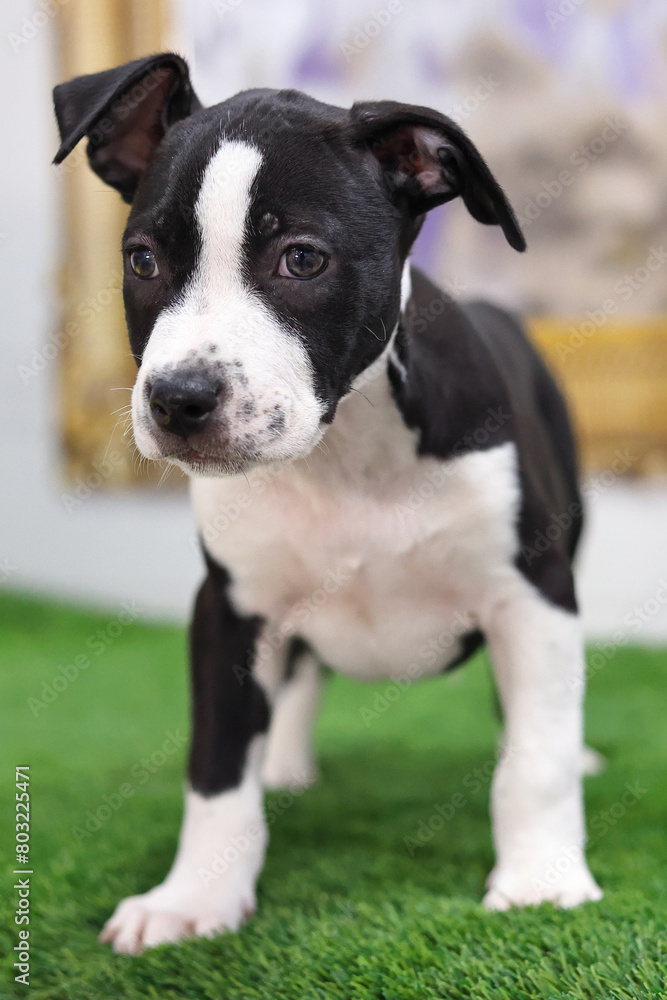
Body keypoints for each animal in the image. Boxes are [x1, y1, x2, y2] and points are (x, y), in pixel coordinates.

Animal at [54, 52, 604, 952]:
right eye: (142, 260)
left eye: (302, 260)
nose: (178, 399)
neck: (345, 450)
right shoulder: (229, 607)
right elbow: (216, 768)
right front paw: (193, 897)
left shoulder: (533, 593)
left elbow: (536, 757)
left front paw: (540, 881)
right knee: (299, 671)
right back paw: (281, 762)